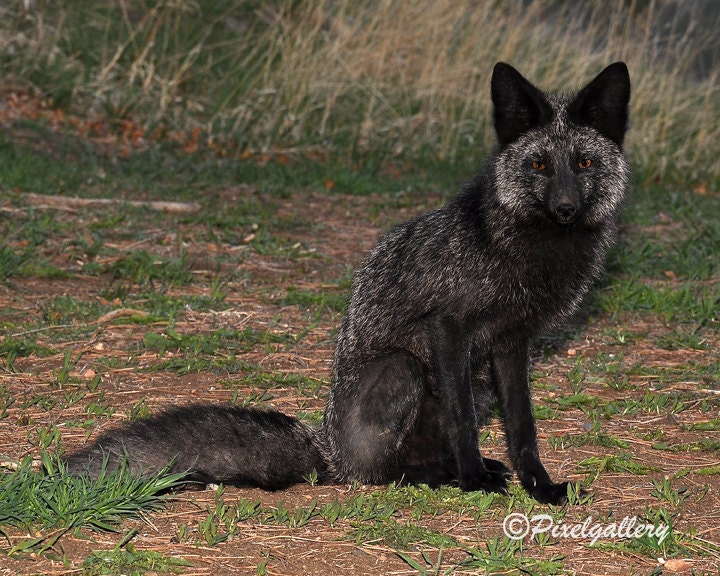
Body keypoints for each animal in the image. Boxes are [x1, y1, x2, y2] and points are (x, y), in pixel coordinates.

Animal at [66, 61, 631, 505]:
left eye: (583, 163)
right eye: (539, 164)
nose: (566, 208)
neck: (528, 251)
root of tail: (329, 451)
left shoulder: (512, 342)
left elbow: (524, 427)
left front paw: (539, 485)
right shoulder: (449, 326)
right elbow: (464, 422)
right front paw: (474, 479)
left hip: (479, 378)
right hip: (405, 368)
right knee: (381, 474)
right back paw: (442, 475)